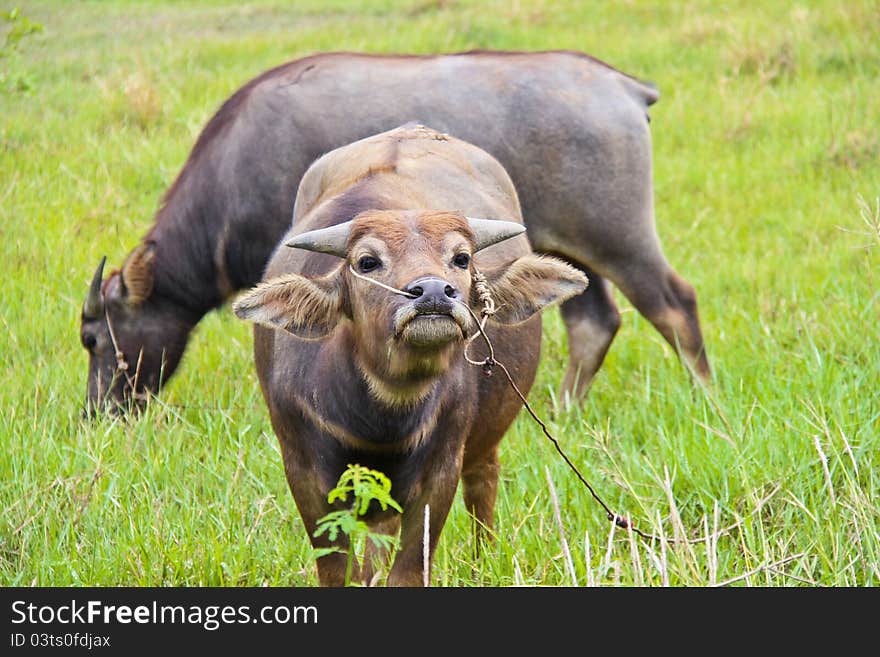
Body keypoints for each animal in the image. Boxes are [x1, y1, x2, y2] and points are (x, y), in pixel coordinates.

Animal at [81, 50, 708, 416]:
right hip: (566, 249)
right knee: (594, 323)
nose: (97, 413)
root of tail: (622, 87)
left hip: (619, 238)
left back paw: (705, 400)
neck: (238, 165)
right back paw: (563, 412)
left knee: (674, 304)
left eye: (94, 338)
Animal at [237, 125, 588, 588]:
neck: (380, 420)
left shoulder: (440, 470)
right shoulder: (303, 469)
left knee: (483, 484)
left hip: (485, 440)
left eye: (461, 257)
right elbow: (337, 568)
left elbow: (408, 569)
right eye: (367, 261)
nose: (434, 292)